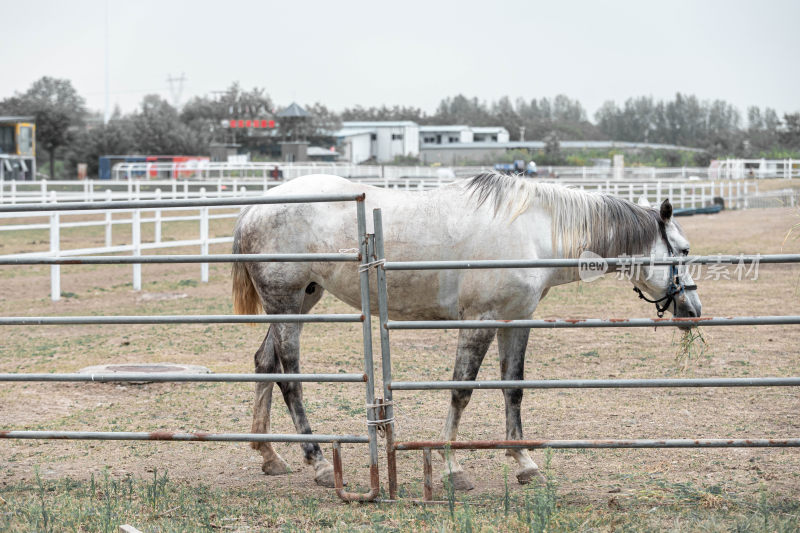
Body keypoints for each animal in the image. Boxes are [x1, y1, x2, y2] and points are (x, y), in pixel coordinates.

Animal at [231, 172, 700, 488]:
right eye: (683, 250)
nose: (693, 309)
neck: (532, 230)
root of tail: (255, 207)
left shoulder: (516, 319)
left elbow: (513, 388)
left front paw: (524, 463)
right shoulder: (479, 320)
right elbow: (462, 390)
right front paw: (453, 467)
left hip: (303, 299)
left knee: (265, 361)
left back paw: (269, 454)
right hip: (286, 300)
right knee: (289, 374)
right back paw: (319, 463)